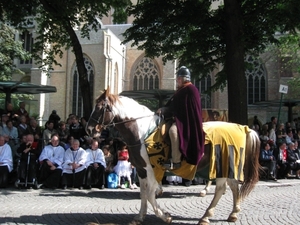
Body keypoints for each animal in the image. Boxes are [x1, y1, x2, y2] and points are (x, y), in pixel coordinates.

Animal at [85, 89, 260, 224]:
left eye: (100, 107)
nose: (89, 129)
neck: (142, 133)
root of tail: (242, 128)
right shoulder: (141, 170)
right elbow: (143, 193)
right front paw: (140, 217)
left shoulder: (152, 170)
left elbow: (150, 195)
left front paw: (165, 216)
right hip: (228, 166)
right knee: (233, 186)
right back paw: (233, 213)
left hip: (220, 164)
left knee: (221, 188)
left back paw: (206, 216)